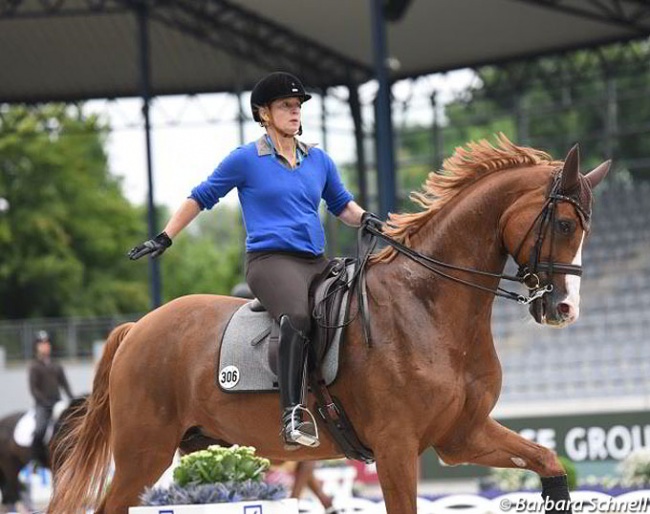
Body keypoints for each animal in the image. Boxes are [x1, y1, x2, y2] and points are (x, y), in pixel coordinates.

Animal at [49, 137, 608, 512]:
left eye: (586, 228)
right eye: (563, 224)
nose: (564, 309)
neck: (428, 307)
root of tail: (137, 328)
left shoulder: (462, 435)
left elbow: (548, 462)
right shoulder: (397, 448)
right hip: (143, 452)